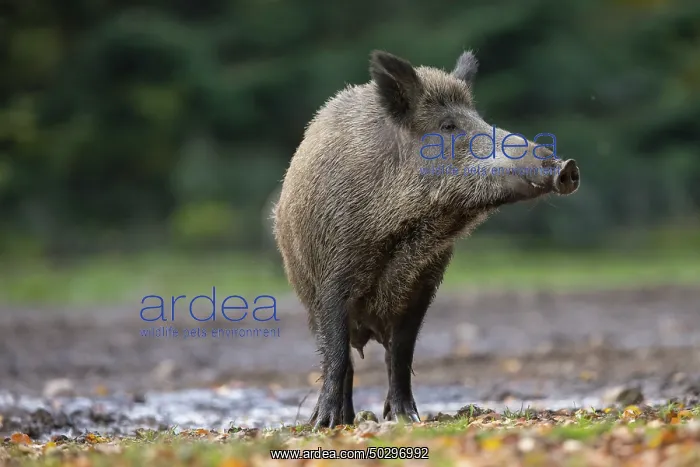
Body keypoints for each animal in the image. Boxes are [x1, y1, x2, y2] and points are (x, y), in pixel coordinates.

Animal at [272, 50, 580, 429]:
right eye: (447, 126)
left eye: (480, 119)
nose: (566, 166)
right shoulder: (333, 278)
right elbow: (337, 355)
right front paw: (324, 425)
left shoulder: (424, 283)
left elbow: (403, 354)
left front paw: (408, 419)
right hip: (306, 293)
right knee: (340, 356)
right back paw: (340, 420)